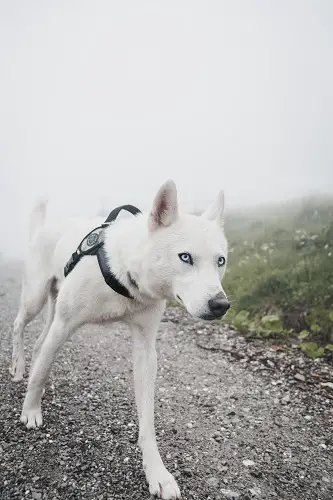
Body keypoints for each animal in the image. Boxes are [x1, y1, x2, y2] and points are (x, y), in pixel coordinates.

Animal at [10, 181, 228, 500]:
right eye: (185, 257)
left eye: (220, 261)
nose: (221, 305)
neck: (125, 272)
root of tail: (43, 227)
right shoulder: (64, 325)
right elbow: (39, 375)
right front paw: (30, 411)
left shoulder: (145, 350)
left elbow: (147, 420)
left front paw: (157, 472)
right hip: (35, 300)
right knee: (19, 327)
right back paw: (17, 367)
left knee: (41, 345)